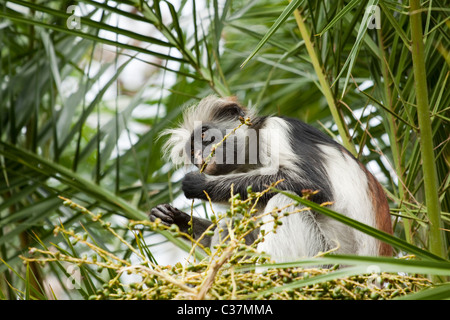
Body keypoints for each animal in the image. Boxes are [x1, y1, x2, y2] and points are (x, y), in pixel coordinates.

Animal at [149, 96, 392, 262]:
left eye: (204, 135)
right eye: (192, 150)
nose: (200, 156)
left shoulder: (278, 128)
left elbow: (312, 185)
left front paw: (200, 184)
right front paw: (174, 218)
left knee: (283, 201)